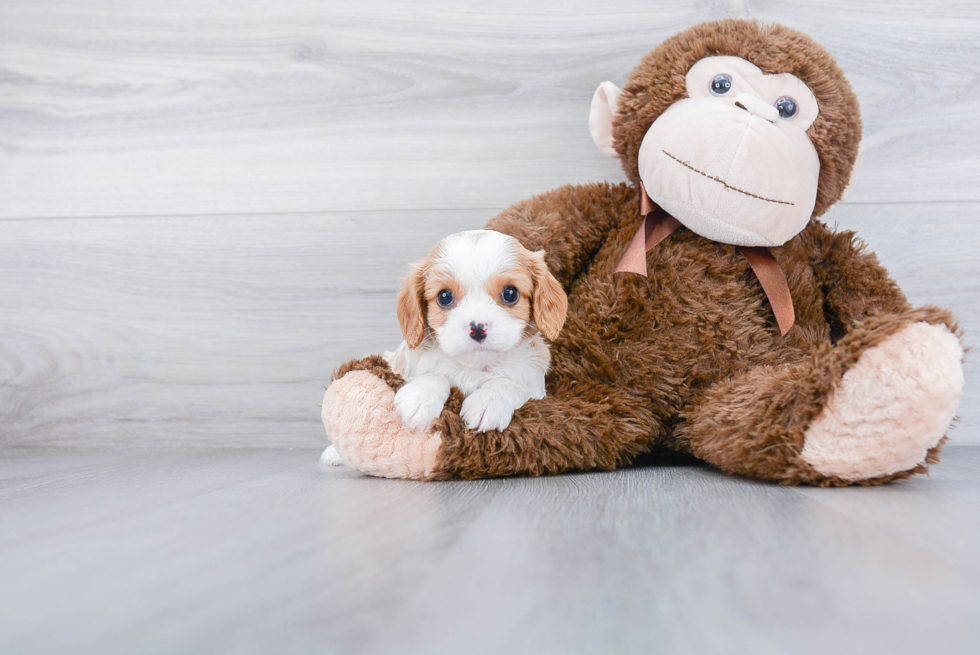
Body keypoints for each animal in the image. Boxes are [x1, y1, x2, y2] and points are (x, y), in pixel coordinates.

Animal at [384, 231, 568, 436]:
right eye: (444, 296)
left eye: (510, 293)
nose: (478, 328)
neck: (475, 367)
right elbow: (435, 374)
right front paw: (419, 397)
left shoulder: (535, 388)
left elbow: (507, 384)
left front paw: (488, 402)